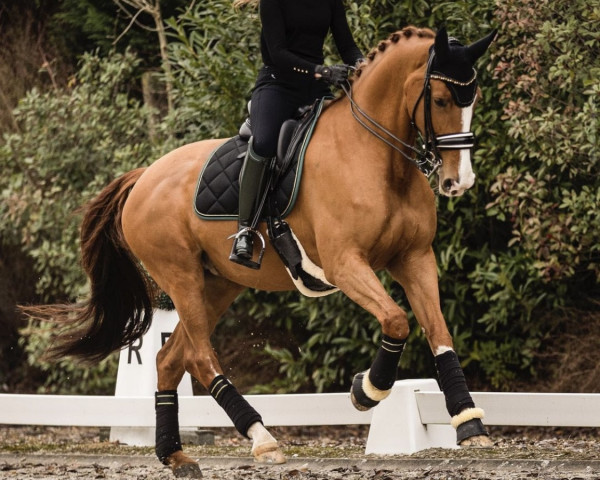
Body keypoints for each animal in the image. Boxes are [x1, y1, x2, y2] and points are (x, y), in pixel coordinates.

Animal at [29, 28, 492, 478]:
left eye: (473, 99)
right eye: (440, 99)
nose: (459, 182)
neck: (375, 158)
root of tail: (144, 177)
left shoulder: (414, 258)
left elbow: (438, 333)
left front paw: (469, 423)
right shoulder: (345, 265)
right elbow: (397, 320)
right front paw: (367, 389)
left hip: (218, 284)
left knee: (168, 358)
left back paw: (175, 455)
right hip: (181, 277)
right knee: (199, 357)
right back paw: (262, 439)